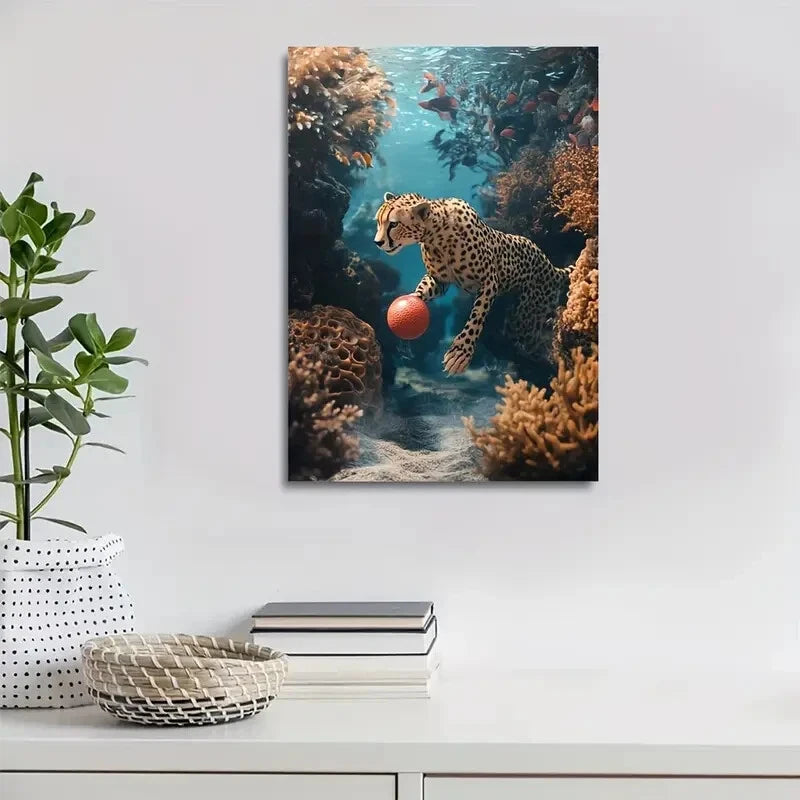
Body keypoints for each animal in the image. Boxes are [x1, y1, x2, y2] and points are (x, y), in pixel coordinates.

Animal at [374, 192, 571, 374]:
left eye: (393, 224)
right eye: (378, 222)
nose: (377, 242)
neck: (434, 234)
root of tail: (551, 266)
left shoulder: (489, 281)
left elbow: (476, 317)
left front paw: (460, 352)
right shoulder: (439, 281)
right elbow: (423, 289)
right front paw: (412, 301)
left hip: (528, 314)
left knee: (532, 338)